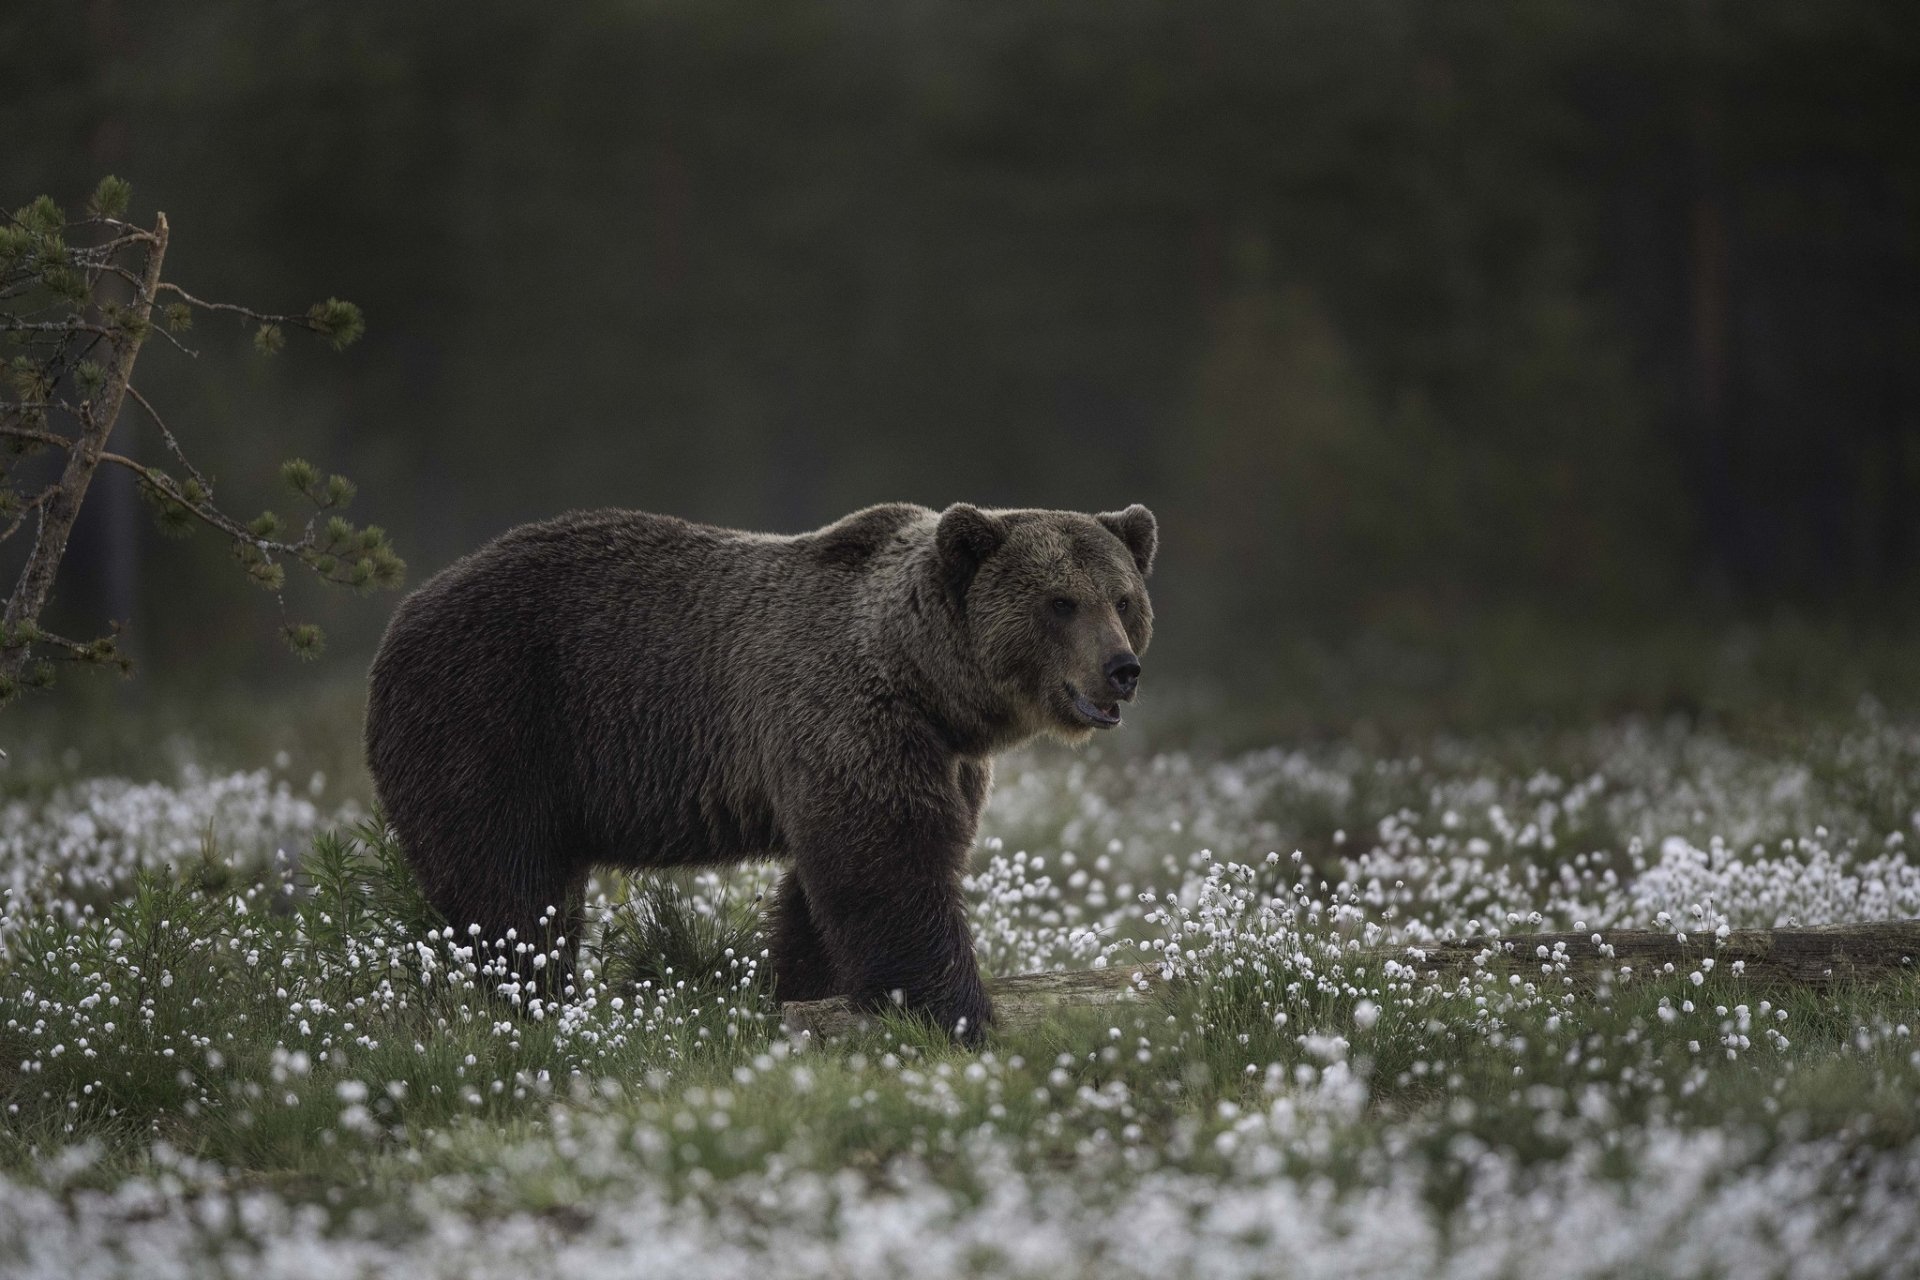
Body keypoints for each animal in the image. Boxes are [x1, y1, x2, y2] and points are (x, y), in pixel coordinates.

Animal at [363, 501, 1156, 1042]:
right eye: (1060, 602)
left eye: (1122, 599)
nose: (1122, 669)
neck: (925, 684)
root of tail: (405, 612)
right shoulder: (848, 717)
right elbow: (889, 866)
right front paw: (958, 1012)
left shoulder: (939, 758)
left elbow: (834, 887)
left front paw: (806, 989)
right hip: (493, 718)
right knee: (507, 884)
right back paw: (536, 995)